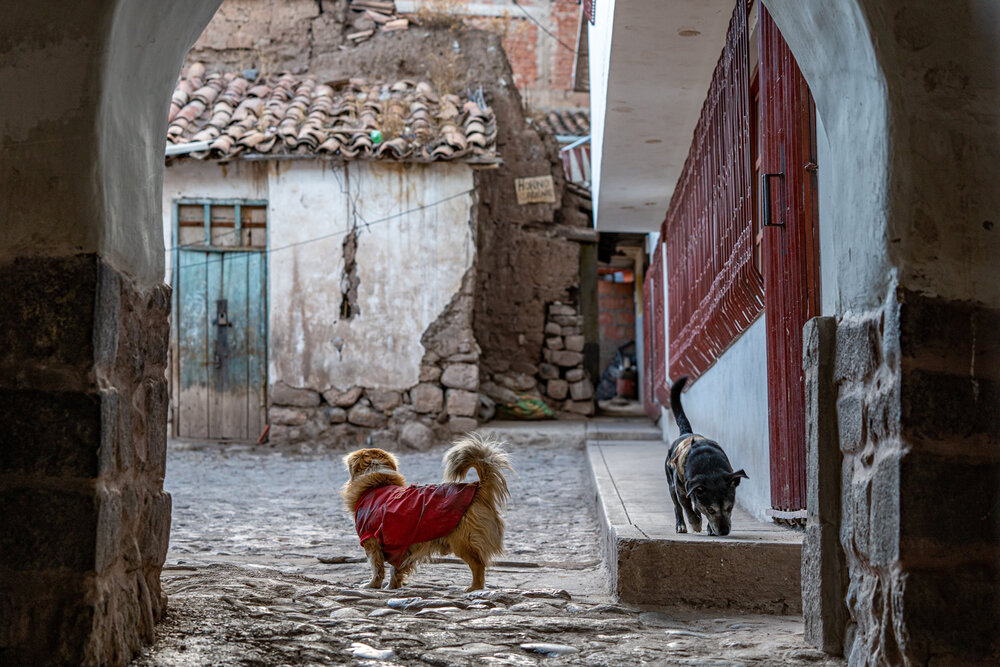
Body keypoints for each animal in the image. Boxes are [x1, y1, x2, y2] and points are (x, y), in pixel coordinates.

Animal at [344, 436, 516, 592]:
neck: (376, 482)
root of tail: (478, 488)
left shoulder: (371, 541)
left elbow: (377, 568)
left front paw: (372, 585)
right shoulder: (401, 545)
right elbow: (395, 570)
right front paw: (392, 587)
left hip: (463, 542)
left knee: (478, 565)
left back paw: (474, 588)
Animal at [668, 376, 748, 536]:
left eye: (730, 508)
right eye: (711, 510)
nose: (724, 532)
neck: (709, 468)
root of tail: (686, 433)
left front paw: (709, 527)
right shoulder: (682, 489)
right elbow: (686, 507)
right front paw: (695, 522)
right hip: (671, 485)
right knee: (677, 506)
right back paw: (681, 525)